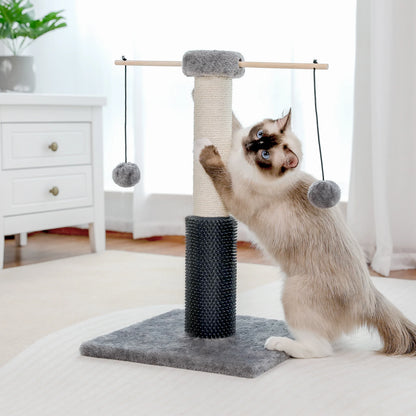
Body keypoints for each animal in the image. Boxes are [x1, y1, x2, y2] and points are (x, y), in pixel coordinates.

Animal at [197, 109, 416, 358]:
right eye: (260, 135)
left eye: (264, 154)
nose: (250, 146)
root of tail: (370, 297)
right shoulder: (237, 138)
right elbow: (235, 124)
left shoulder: (233, 197)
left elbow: (217, 170)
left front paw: (204, 148)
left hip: (292, 291)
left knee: (321, 350)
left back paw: (279, 343)